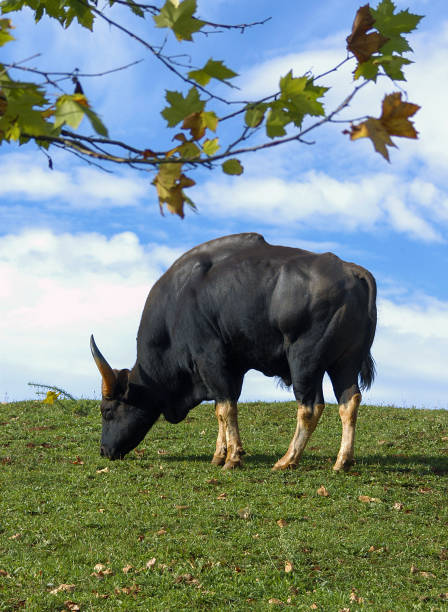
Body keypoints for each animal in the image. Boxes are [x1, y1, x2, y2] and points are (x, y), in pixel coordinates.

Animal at [92, 232, 378, 470]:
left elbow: (225, 408)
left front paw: (232, 458)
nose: (104, 451)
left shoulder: (210, 359)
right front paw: (220, 454)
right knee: (349, 401)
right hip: (345, 362)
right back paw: (343, 461)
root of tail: (352, 271)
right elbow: (223, 406)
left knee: (310, 406)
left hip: (305, 361)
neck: (177, 305)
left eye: (107, 411)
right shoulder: (232, 368)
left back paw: (287, 460)